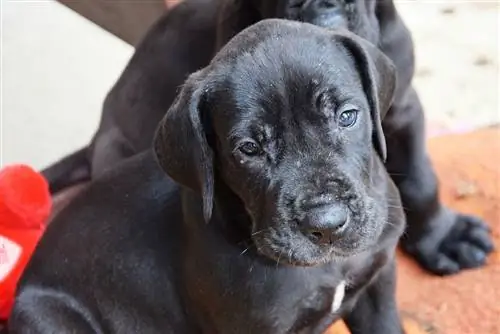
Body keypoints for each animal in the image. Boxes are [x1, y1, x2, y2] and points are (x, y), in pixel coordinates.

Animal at [42, 0, 492, 276]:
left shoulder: (402, 107)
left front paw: (444, 237)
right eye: (250, 149)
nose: (320, 6)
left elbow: (419, 177)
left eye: (347, 117)